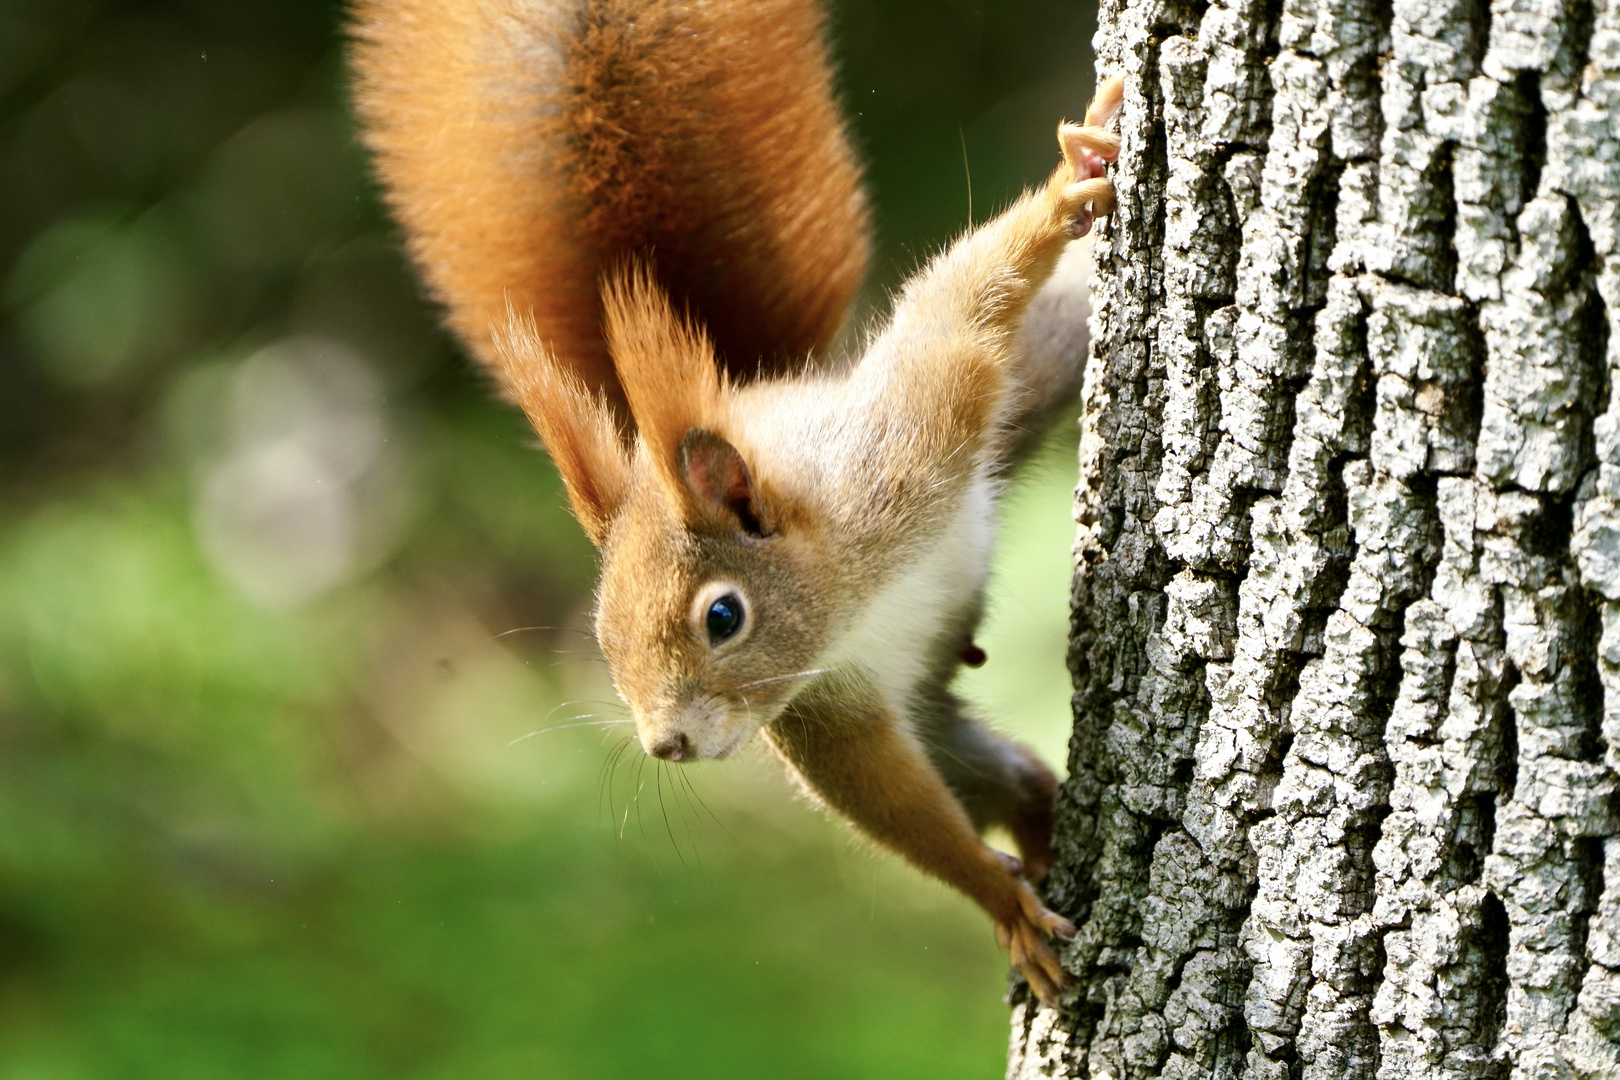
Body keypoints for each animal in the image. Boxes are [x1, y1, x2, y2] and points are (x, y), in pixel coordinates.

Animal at [348, 0, 1121, 1003]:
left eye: (724, 617)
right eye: (601, 638)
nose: (666, 745)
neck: (846, 592)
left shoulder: (906, 442)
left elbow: (955, 310)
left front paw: (1069, 189)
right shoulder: (823, 706)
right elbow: (886, 799)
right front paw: (1001, 902)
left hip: (1033, 374)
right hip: (925, 701)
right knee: (1000, 772)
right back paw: (1039, 828)